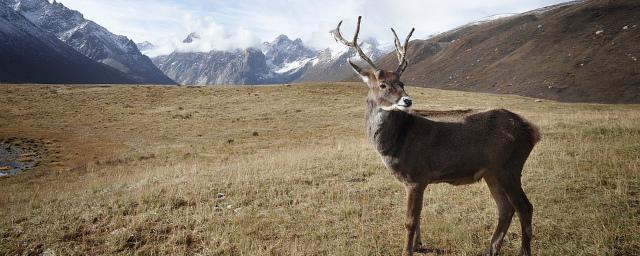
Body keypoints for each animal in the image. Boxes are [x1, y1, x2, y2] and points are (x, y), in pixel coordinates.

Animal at [336, 17, 540, 255]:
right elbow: (418, 217)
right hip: (492, 171)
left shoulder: (416, 175)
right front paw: (419, 244)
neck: (395, 142)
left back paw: (522, 251)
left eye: (402, 83)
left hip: (509, 166)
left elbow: (410, 220)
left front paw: (408, 250)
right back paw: (491, 249)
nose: (407, 100)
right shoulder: (419, 180)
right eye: (383, 84)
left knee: (525, 207)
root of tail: (532, 131)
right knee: (506, 209)